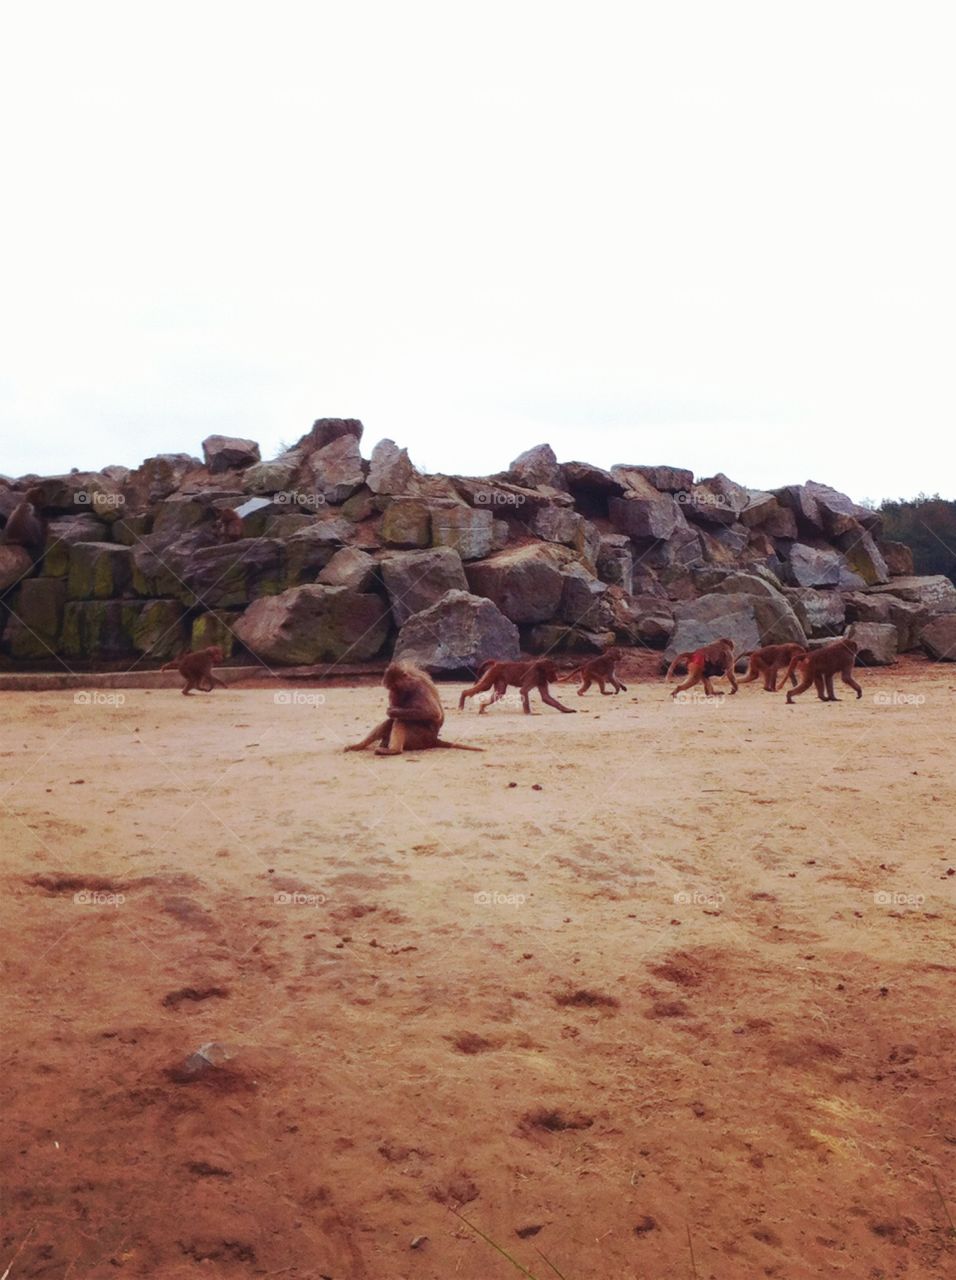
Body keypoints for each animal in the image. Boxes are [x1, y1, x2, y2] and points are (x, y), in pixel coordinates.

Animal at [346, 661, 482, 754]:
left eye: (395, 687)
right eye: (390, 688)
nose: (392, 695)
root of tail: (434, 740)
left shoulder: (419, 688)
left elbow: (433, 712)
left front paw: (393, 710)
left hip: (421, 737)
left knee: (400, 719)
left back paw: (394, 750)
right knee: (393, 721)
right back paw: (359, 746)